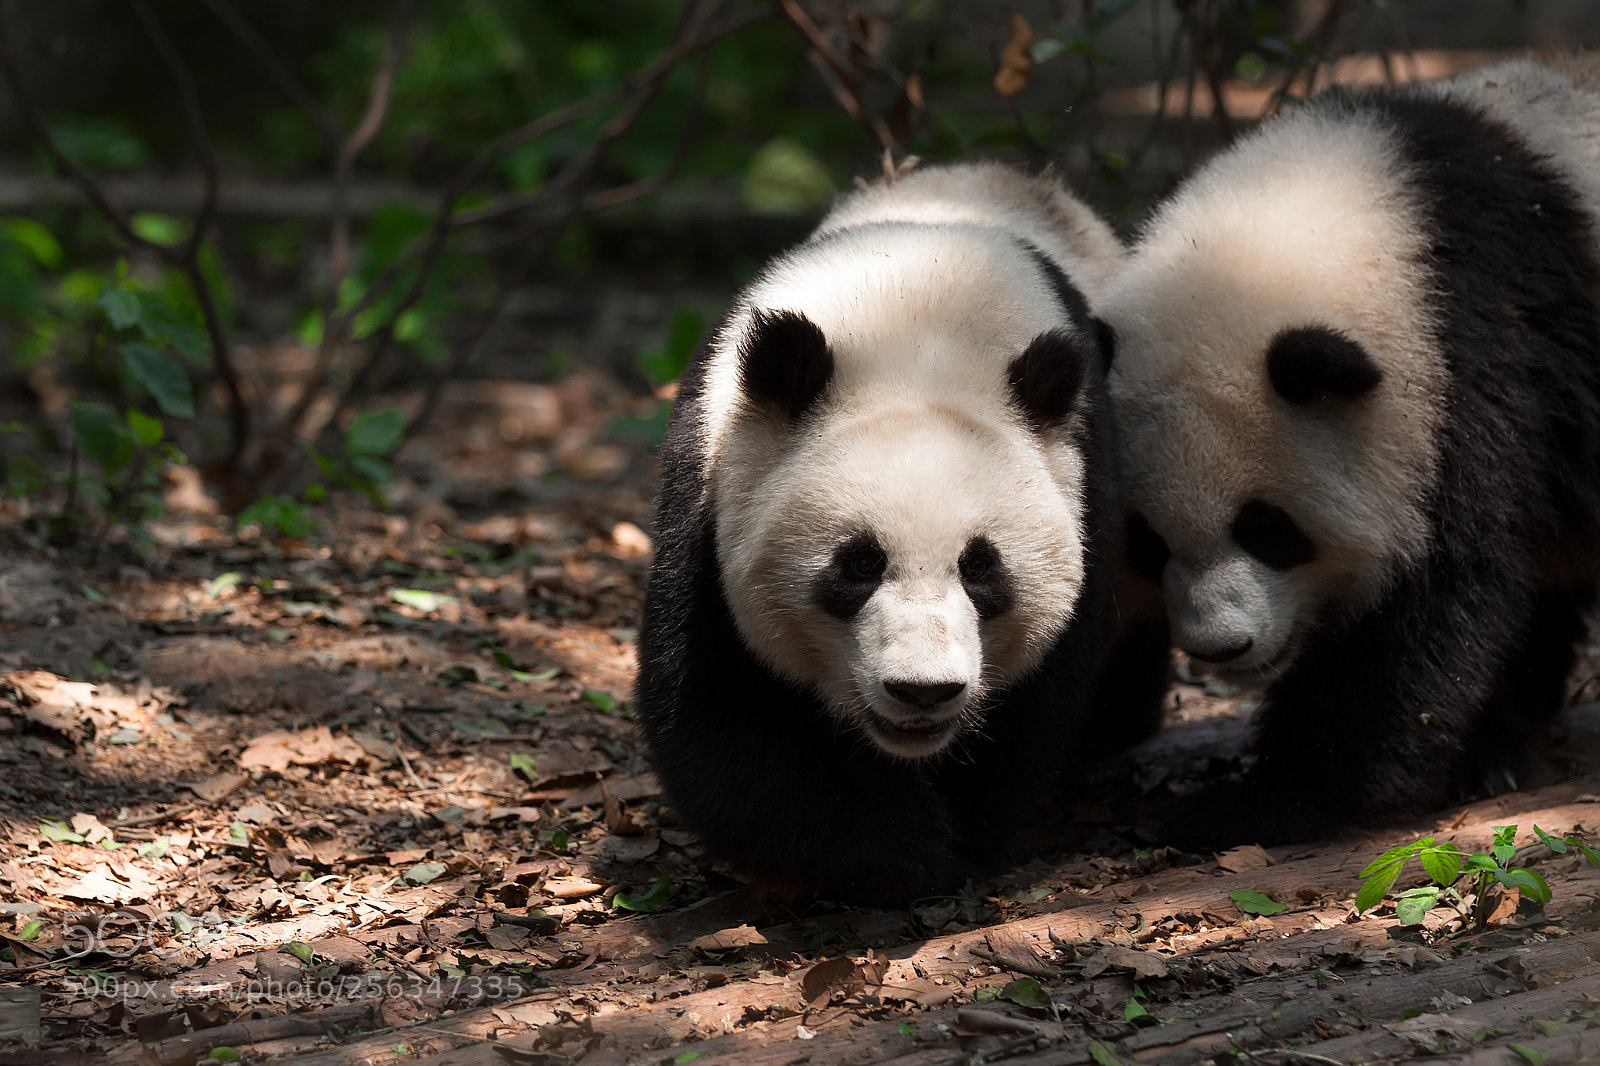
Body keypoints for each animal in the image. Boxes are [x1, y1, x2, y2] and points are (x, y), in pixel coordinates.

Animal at [635, 162, 1156, 899]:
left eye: (980, 568)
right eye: (859, 564)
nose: (923, 691)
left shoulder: (1087, 477)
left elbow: (1036, 701)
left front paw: (958, 834)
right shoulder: (713, 480)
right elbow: (718, 700)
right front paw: (893, 842)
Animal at [1098, 55, 1600, 846]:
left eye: (1268, 529)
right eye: (1148, 544)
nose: (1219, 650)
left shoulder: (1472, 369)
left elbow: (1424, 605)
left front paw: (1264, 801)